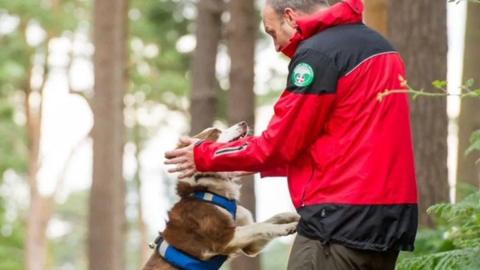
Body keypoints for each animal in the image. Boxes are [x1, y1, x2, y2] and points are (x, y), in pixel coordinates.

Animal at [142, 122, 300, 270]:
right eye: (216, 132)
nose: (243, 123)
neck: (209, 189)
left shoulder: (251, 245)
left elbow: (271, 220)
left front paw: (293, 216)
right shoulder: (225, 239)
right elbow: (261, 226)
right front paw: (288, 227)